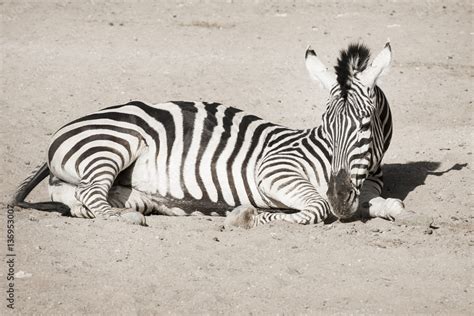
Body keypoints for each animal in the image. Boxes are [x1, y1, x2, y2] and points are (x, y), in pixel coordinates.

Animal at [12, 41, 404, 227]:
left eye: (363, 125)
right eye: (326, 125)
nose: (341, 197)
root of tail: (74, 123)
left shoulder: (367, 187)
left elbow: (389, 204)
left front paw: (388, 209)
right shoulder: (276, 168)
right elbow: (317, 207)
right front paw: (247, 215)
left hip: (117, 178)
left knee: (78, 195)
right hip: (111, 144)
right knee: (91, 193)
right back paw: (122, 217)